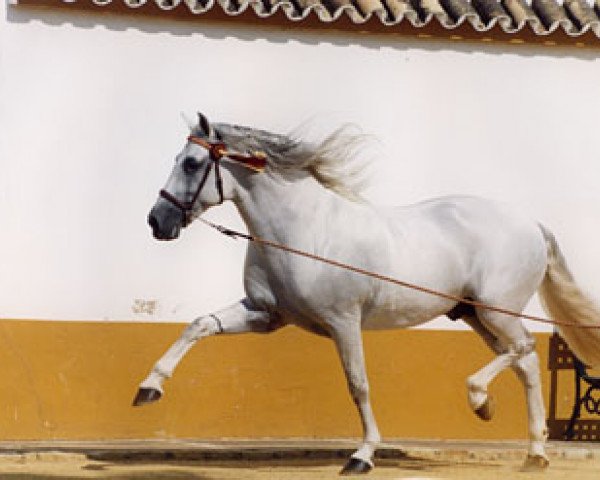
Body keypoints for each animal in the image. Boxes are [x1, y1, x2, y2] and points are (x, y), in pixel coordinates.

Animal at [134, 113, 600, 476]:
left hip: (496, 311)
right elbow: (198, 325)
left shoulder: (343, 320)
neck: (303, 231)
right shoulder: (265, 315)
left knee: (524, 349)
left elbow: (357, 383)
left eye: (192, 163)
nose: (157, 222)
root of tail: (531, 223)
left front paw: (362, 455)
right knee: (526, 365)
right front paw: (148, 389)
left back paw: (481, 401)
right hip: (474, 315)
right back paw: (533, 452)